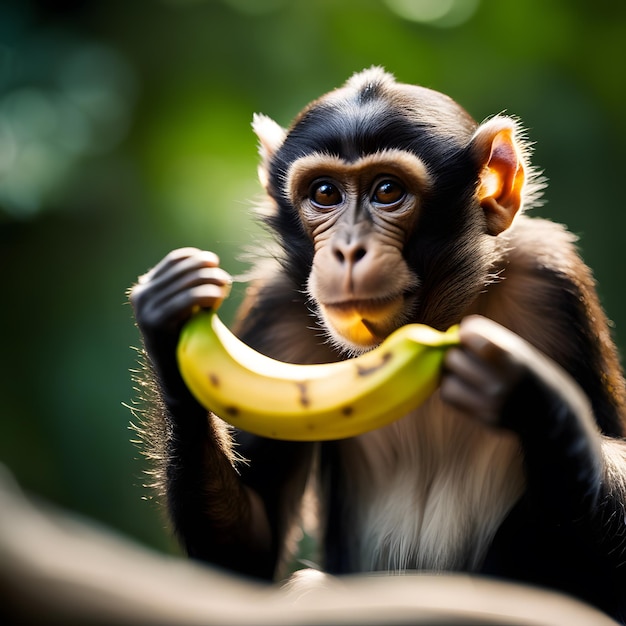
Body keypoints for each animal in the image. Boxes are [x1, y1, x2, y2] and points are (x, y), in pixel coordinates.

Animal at [129, 69, 624, 620]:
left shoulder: (552, 281)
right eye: (325, 192)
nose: (348, 249)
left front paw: (531, 398)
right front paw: (170, 329)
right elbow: (249, 551)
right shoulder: (277, 312)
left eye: (387, 190)